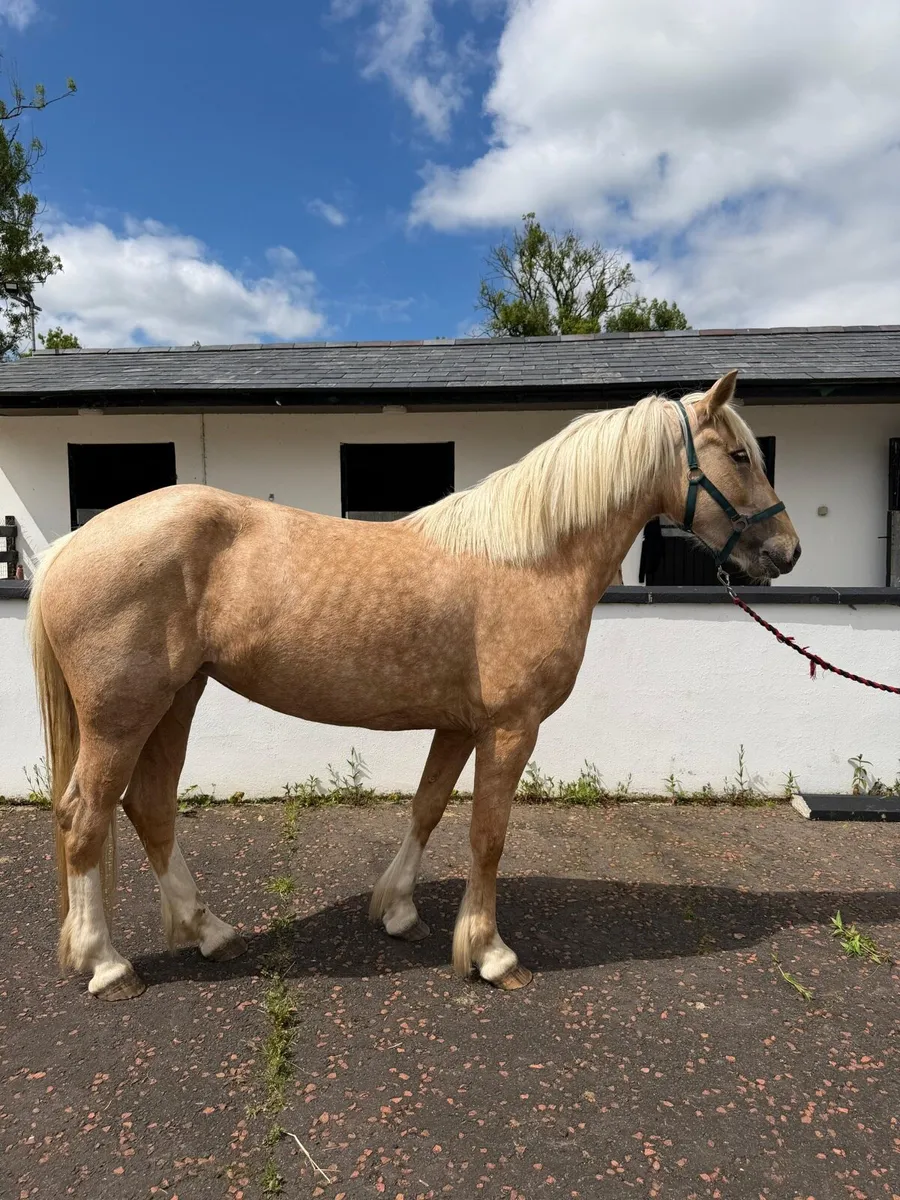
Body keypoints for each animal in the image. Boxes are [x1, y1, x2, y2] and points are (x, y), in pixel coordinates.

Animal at [27, 370, 800, 1001]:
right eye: (739, 456)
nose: (787, 551)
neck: (531, 559)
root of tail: (70, 546)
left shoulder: (459, 724)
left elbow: (427, 809)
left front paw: (398, 913)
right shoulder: (511, 727)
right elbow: (488, 834)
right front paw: (491, 955)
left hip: (174, 701)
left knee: (149, 807)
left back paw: (208, 931)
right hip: (123, 715)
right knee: (85, 815)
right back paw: (107, 964)